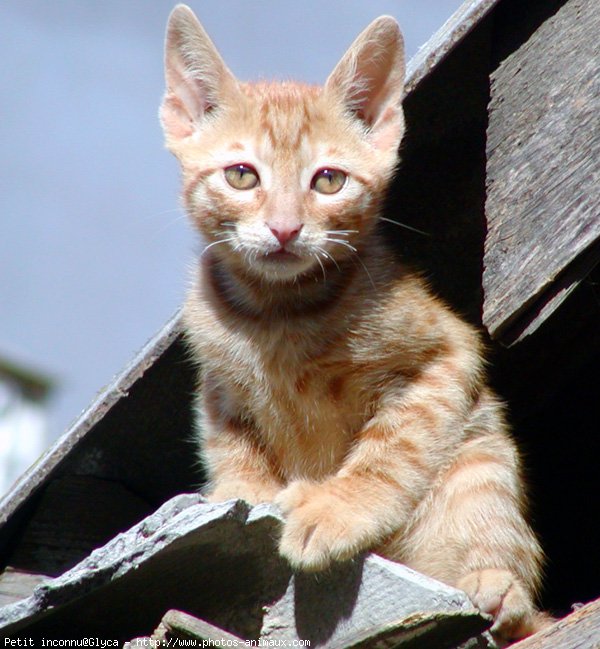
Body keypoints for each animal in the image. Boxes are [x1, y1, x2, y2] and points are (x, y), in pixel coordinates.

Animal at [159, 3, 548, 644]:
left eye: (328, 180)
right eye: (242, 176)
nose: (285, 229)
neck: (279, 312)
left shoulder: (445, 355)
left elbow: (391, 448)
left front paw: (339, 508)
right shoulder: (219, 387)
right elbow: (233, 450)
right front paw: (243, 498)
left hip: (479, 459)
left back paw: (497, 587)